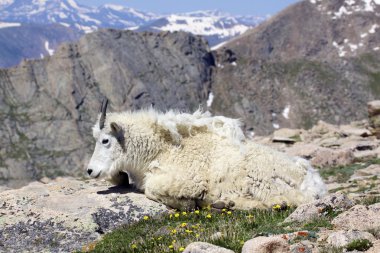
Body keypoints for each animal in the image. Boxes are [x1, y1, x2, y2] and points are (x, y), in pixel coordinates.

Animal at [87, 100, 326, 210]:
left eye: (105, 140)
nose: (90, 170)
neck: (159, 150)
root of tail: (314, 182)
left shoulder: (186, 179)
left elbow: (152, 189)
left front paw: (188, 203)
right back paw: (224, 203)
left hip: (262, 181)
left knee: (289, 201)